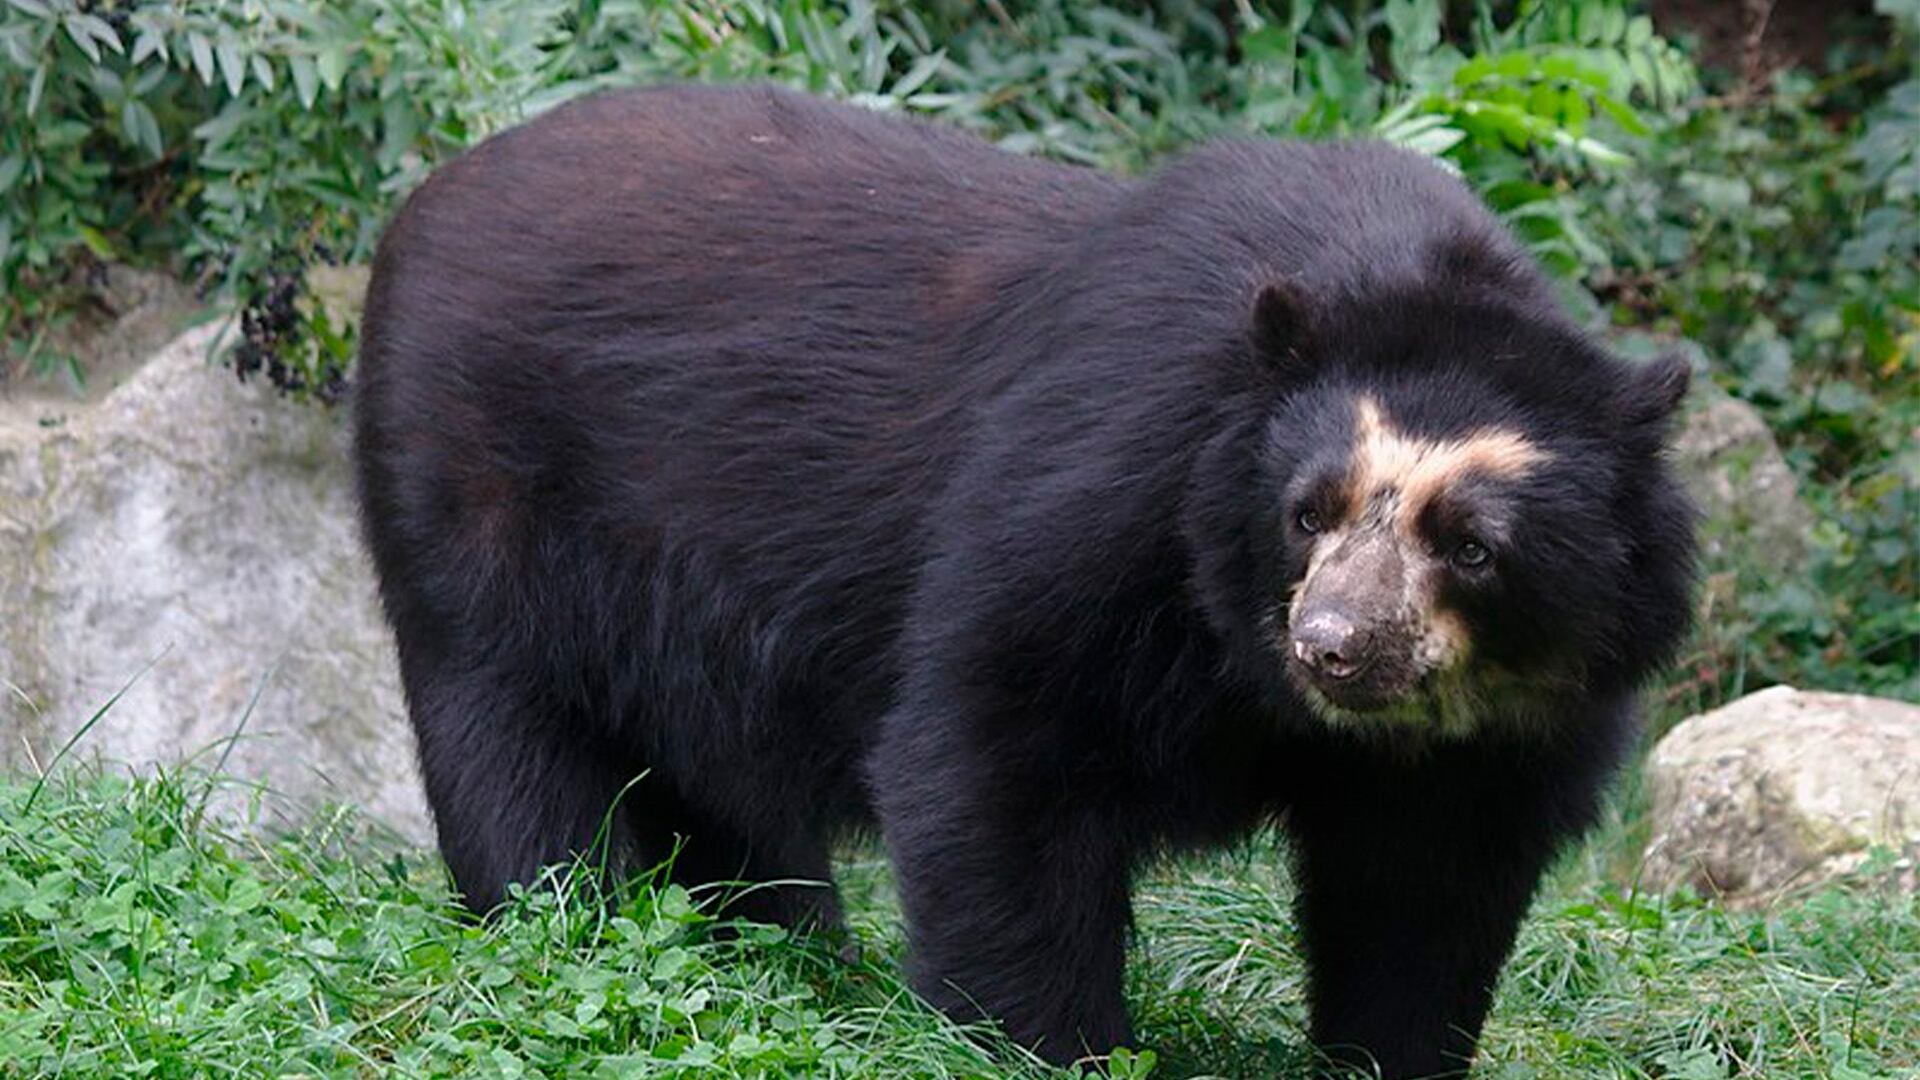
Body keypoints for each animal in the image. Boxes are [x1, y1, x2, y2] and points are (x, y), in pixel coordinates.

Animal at [353, 83, 1696, 1078]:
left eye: (1470, 545)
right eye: (1306, 512)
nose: (1333, 643)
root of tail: (425, 198)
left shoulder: (1509, 722)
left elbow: (1429, 887)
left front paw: (1389, 1053)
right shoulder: (1105, 491)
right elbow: (993, 750)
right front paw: (1047, 1048)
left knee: (721, 782)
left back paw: (790, 955)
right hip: (478, 500)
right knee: (519, 750)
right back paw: (573, 929)